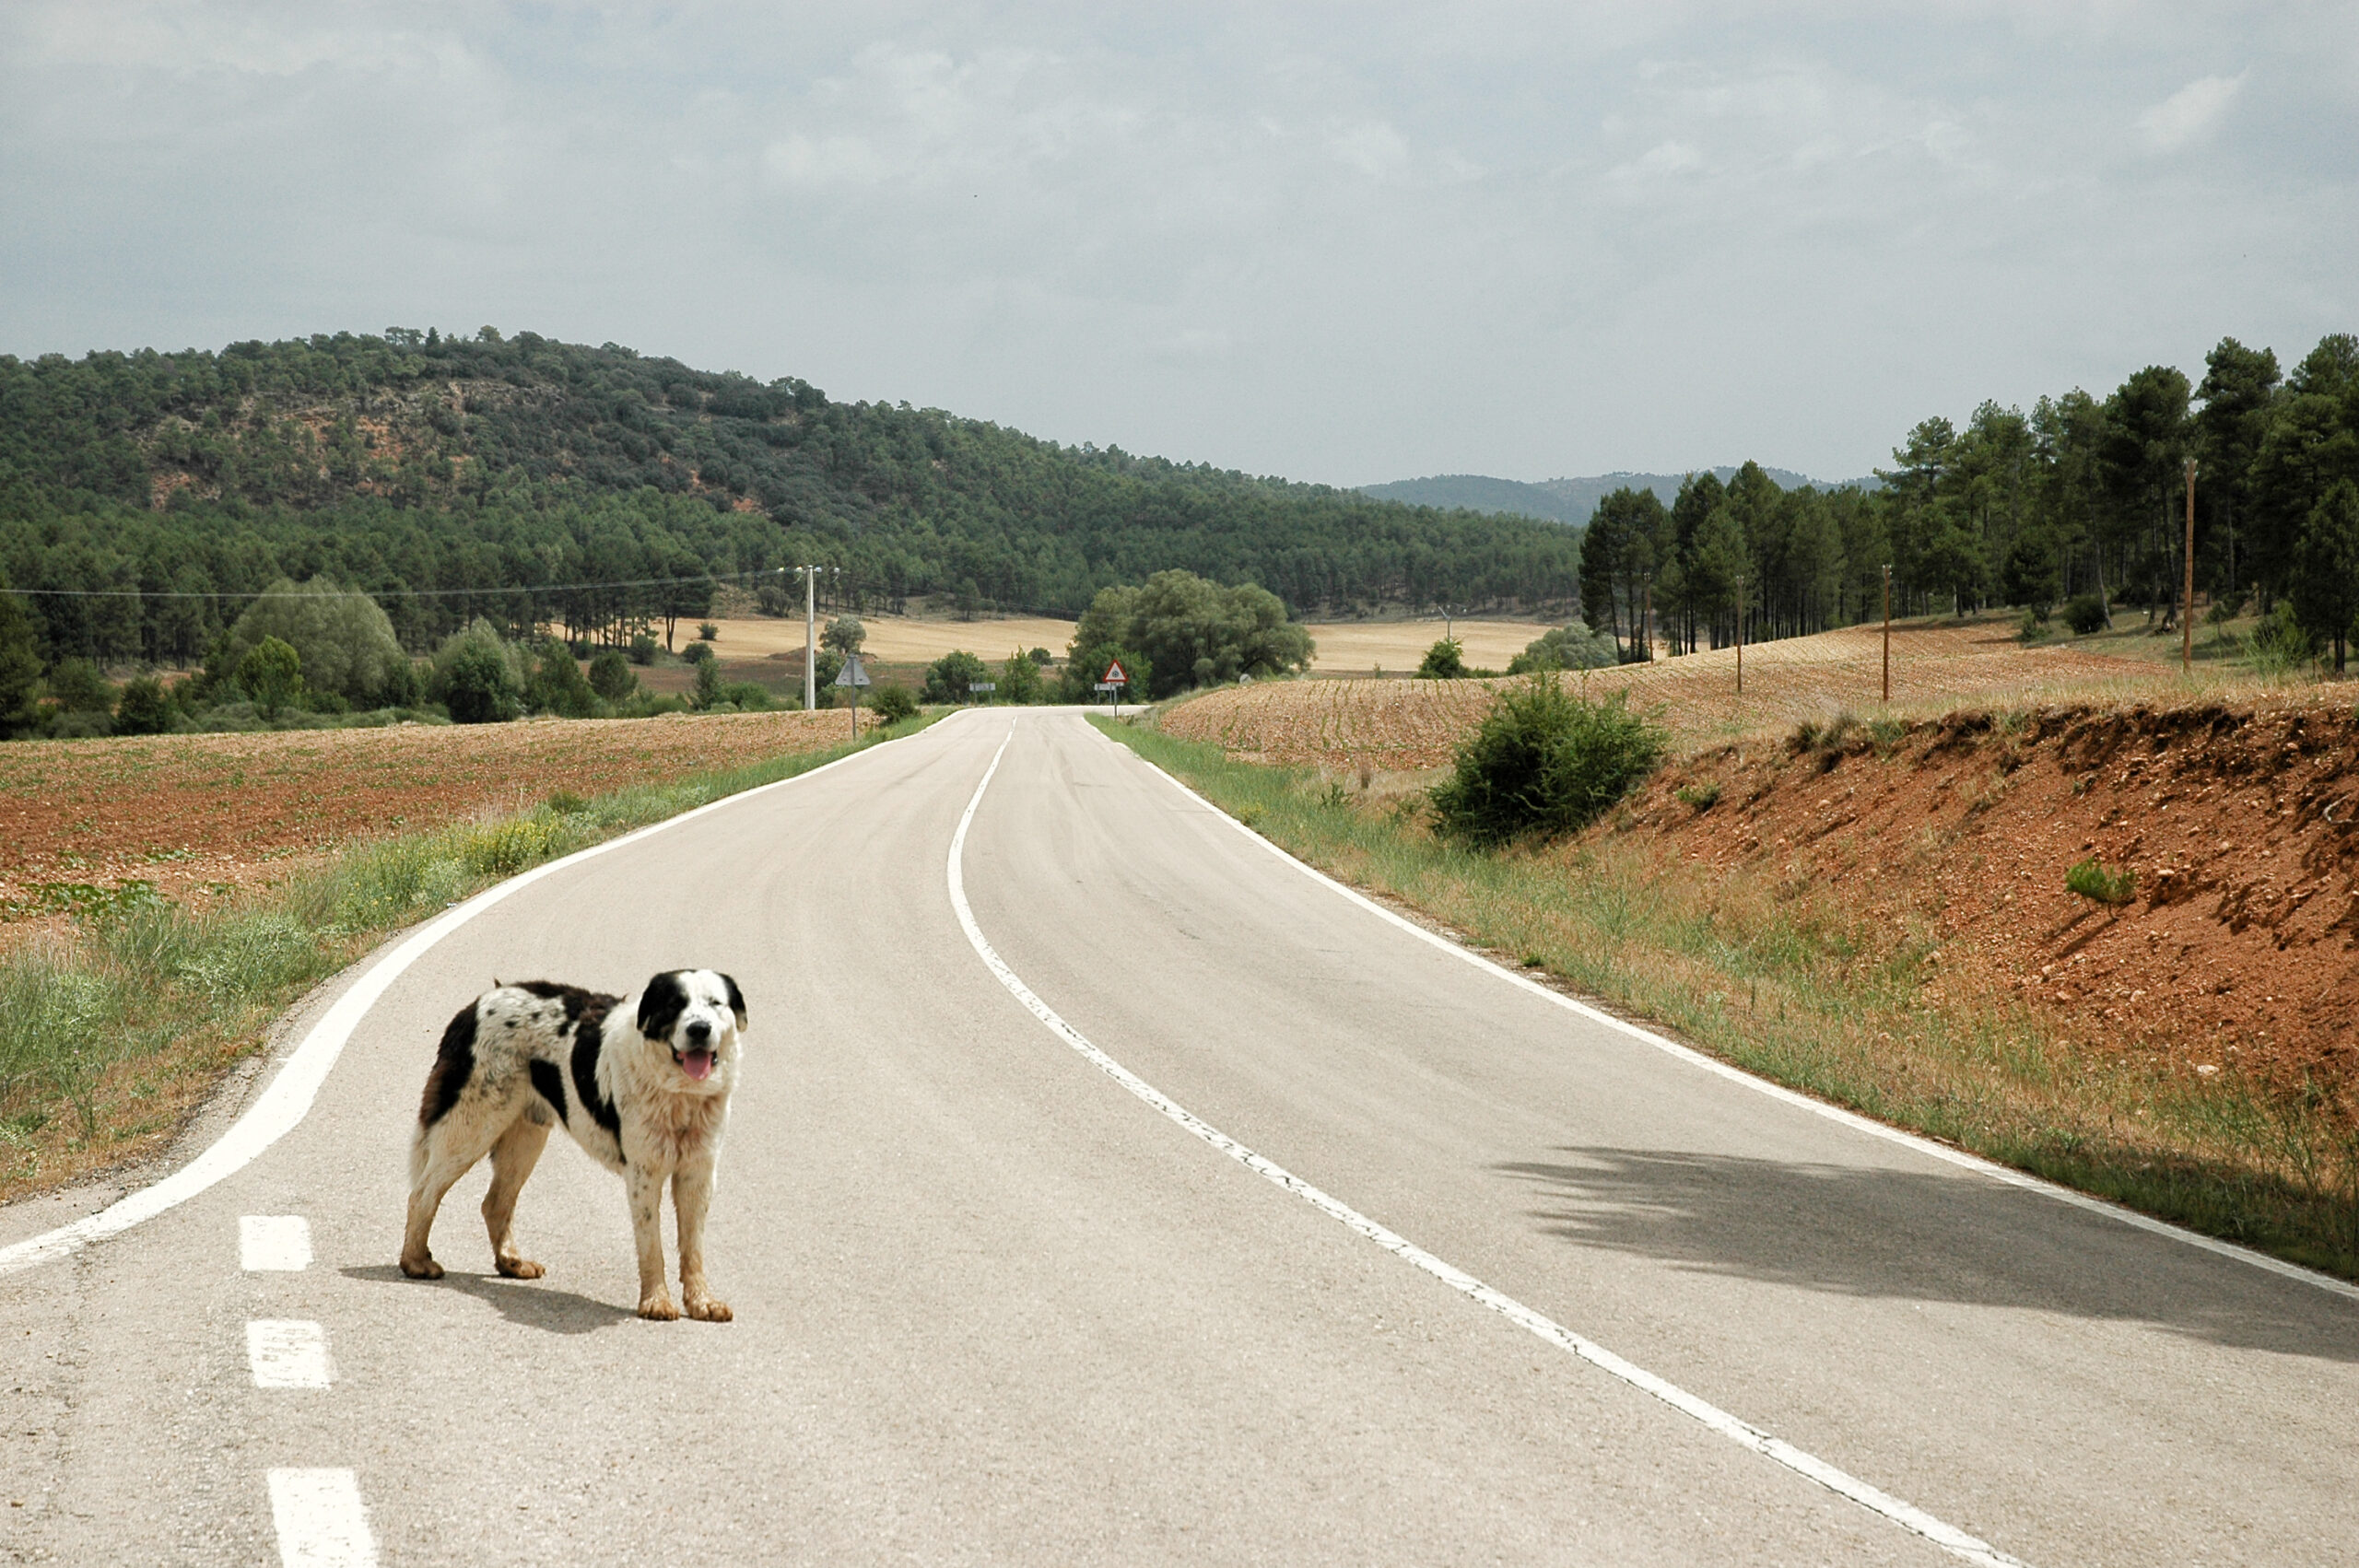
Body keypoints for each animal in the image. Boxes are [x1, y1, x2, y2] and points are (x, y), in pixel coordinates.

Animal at [396, 966, 745, 1320]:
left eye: (715, 1003)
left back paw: (512, 1263)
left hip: (525, 1137)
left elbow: (693, 1247)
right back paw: (416, 1262)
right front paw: (656, 1301)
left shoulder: (698, 1173)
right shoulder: (643, 1174)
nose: (699, 1029)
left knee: (494, 1202)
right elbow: (652, 1246)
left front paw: (702, 1302)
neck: (681, 1093)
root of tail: (476, 1006)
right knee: (422, 1194)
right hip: (473, 1126)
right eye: (675, 1005)